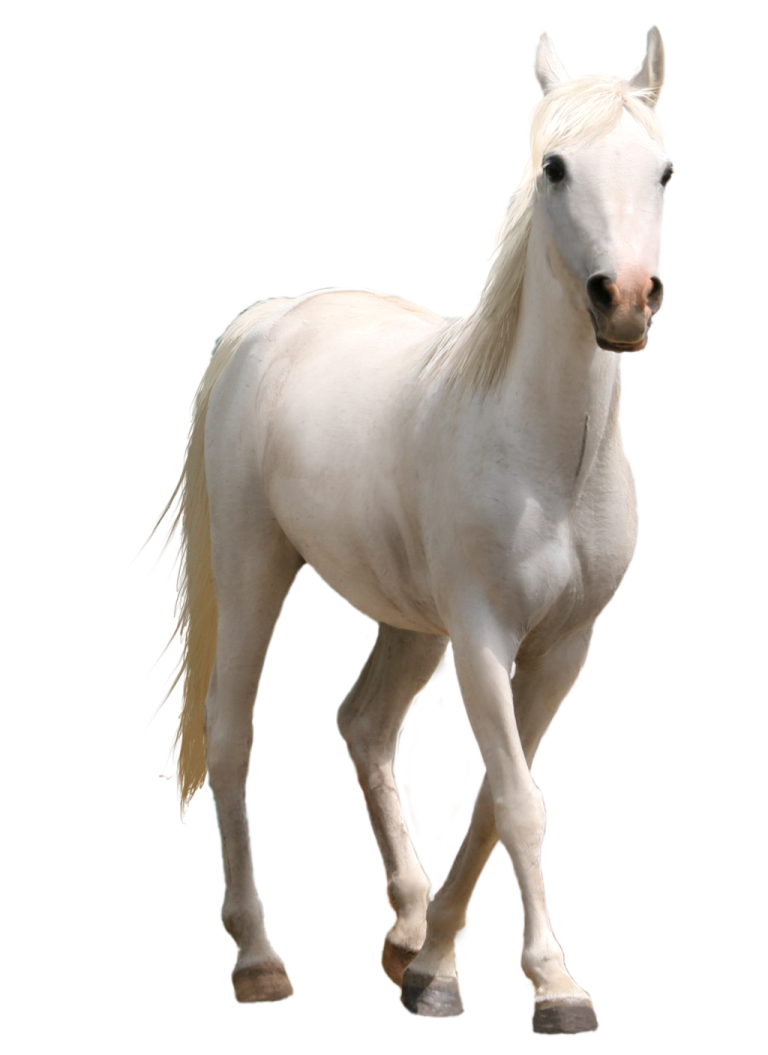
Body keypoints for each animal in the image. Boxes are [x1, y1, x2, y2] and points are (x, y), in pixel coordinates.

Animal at [129, 21, 674, 1033]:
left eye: (661, 170)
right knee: (232, 731)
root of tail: (270, 319)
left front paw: (439, 967)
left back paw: (407, 927)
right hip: (260, 568)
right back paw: (259, 958)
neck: (548, 457)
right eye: (554, 167)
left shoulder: (564, 645)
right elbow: (519, 800)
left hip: (411, 622)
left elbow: (497, 800)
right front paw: (548, 986)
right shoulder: (486, 636)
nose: (623, 299)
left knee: (366, 725)